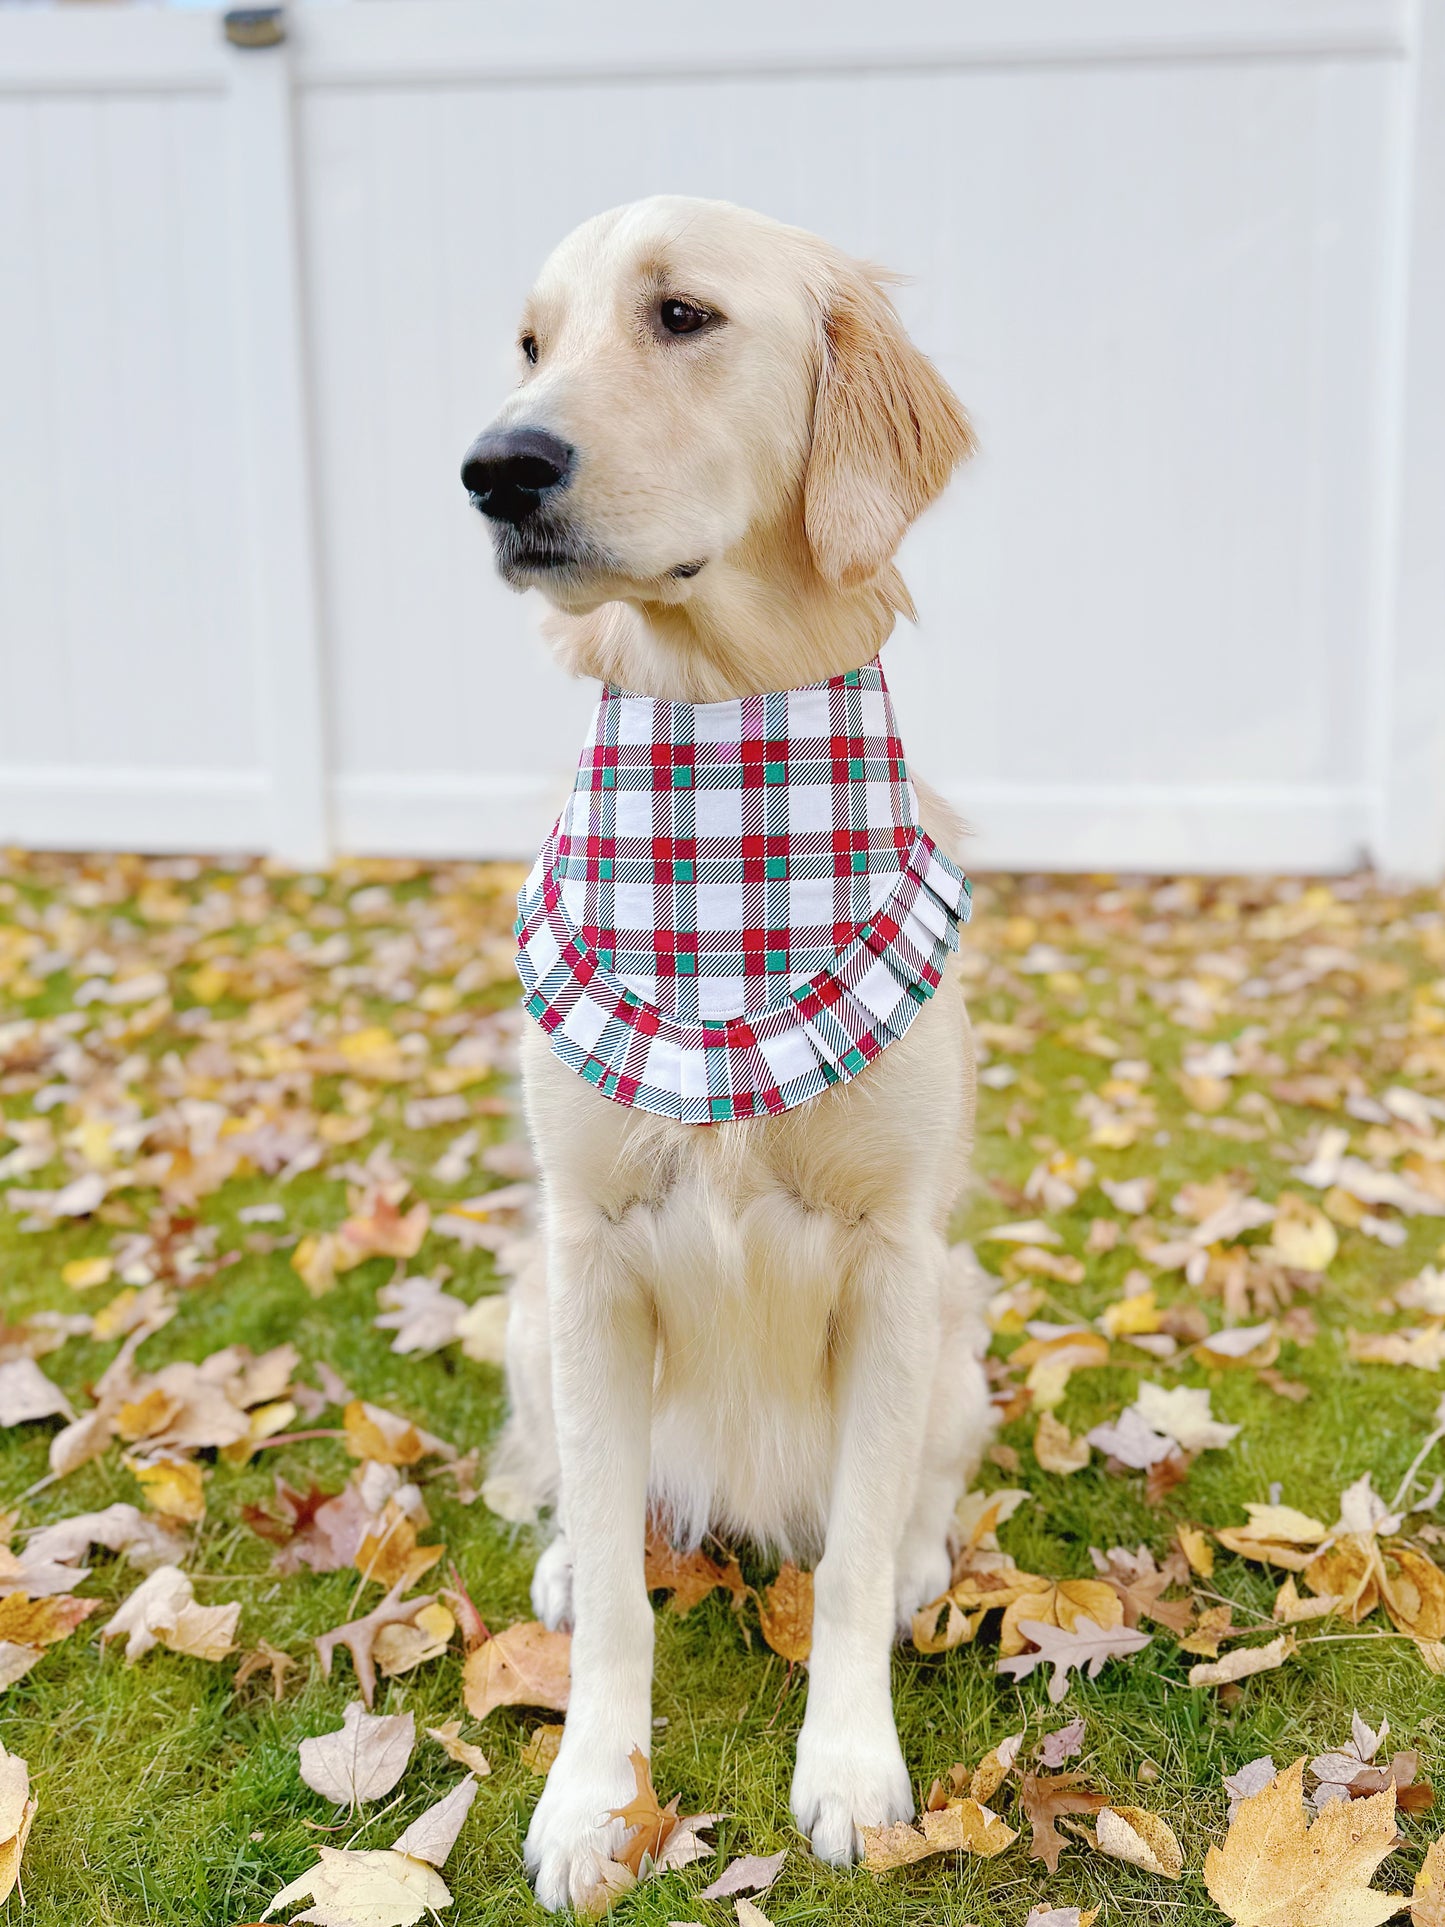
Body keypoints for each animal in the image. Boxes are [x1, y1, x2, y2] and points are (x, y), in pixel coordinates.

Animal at [460, 195, 994, 1911]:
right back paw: (572, 1556)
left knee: (912, 1505)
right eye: (531, 341)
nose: (495, 466)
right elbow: (631, 1604)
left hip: (961, 1322)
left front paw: (851, 1768)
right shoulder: (591, 1249)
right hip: (526, 1307)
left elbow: (849, 1569)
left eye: (681, 315)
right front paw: (590, 1798)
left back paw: (925, 1559)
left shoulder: (891, 1261)